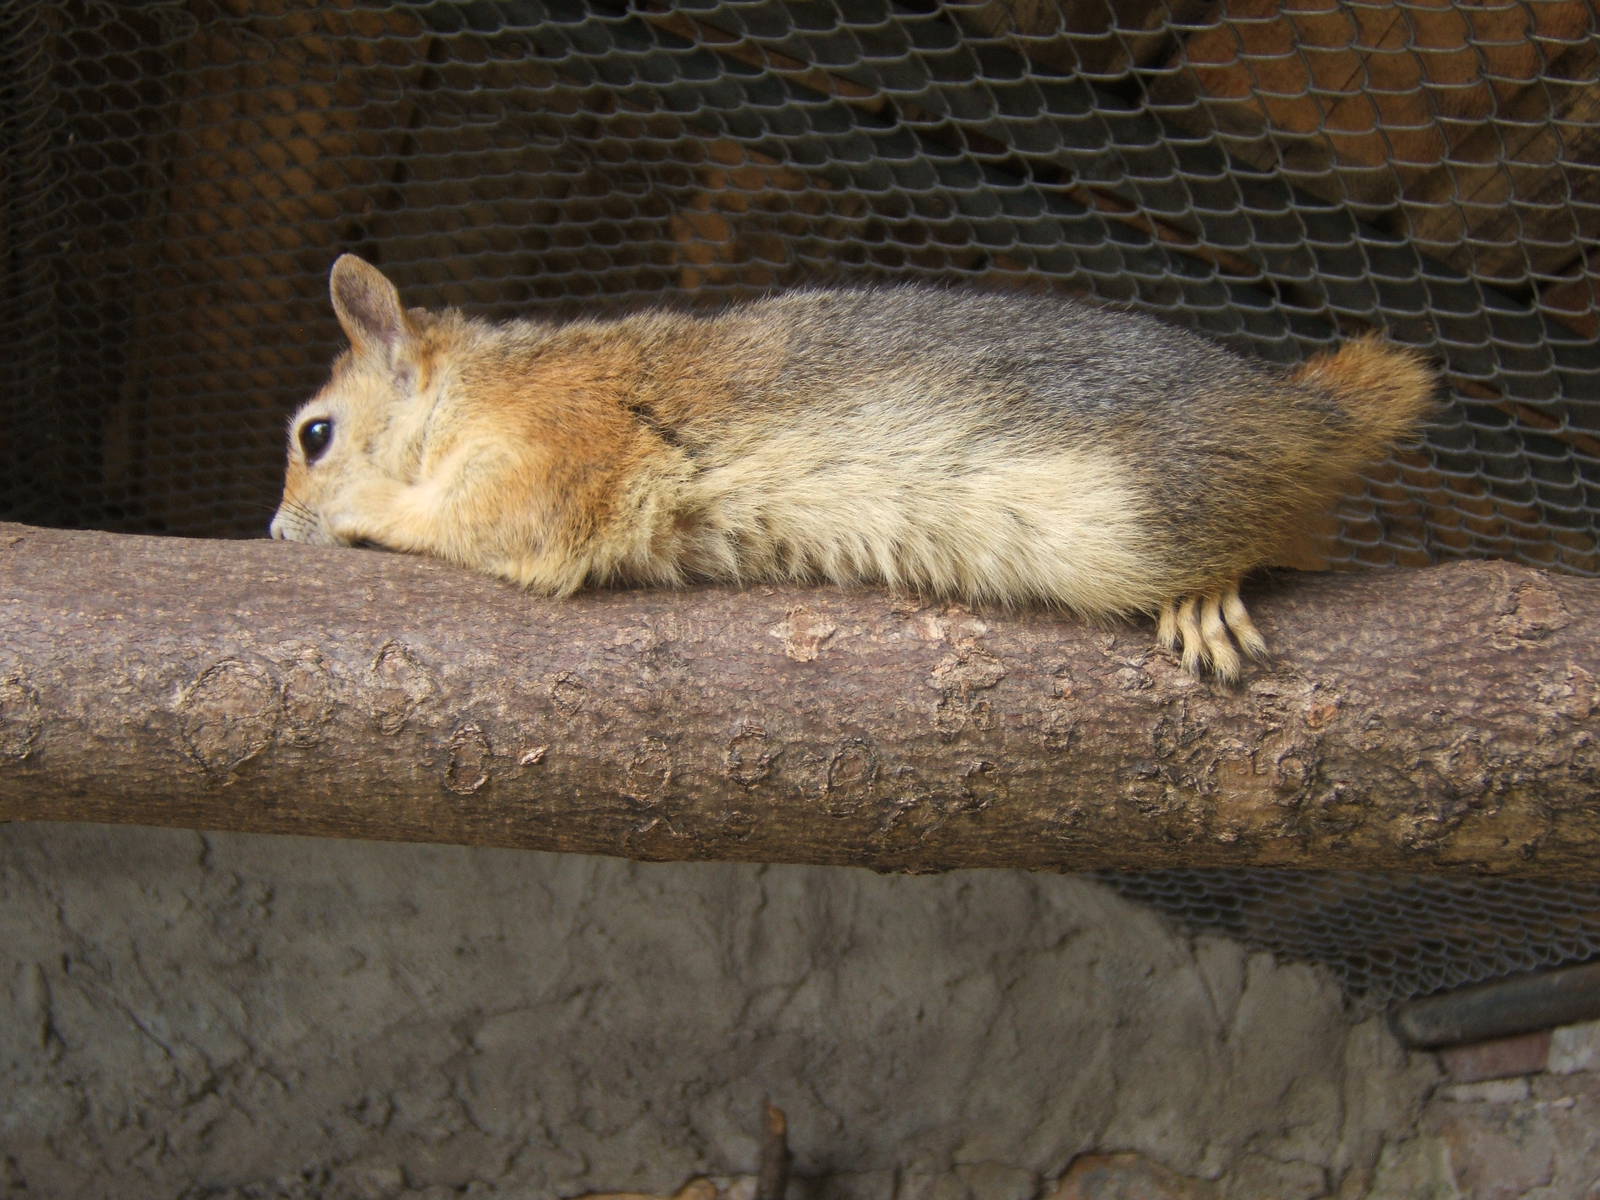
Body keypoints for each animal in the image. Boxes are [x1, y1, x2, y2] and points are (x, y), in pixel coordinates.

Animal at [270, 254, 1435, 680]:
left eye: (313, 435)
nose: (275, 530)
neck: (474, 390)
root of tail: (1299, 410)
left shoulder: (564, 449)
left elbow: (484, 520)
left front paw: (360, 514)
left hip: (1133, 518)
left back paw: (1206, 595)